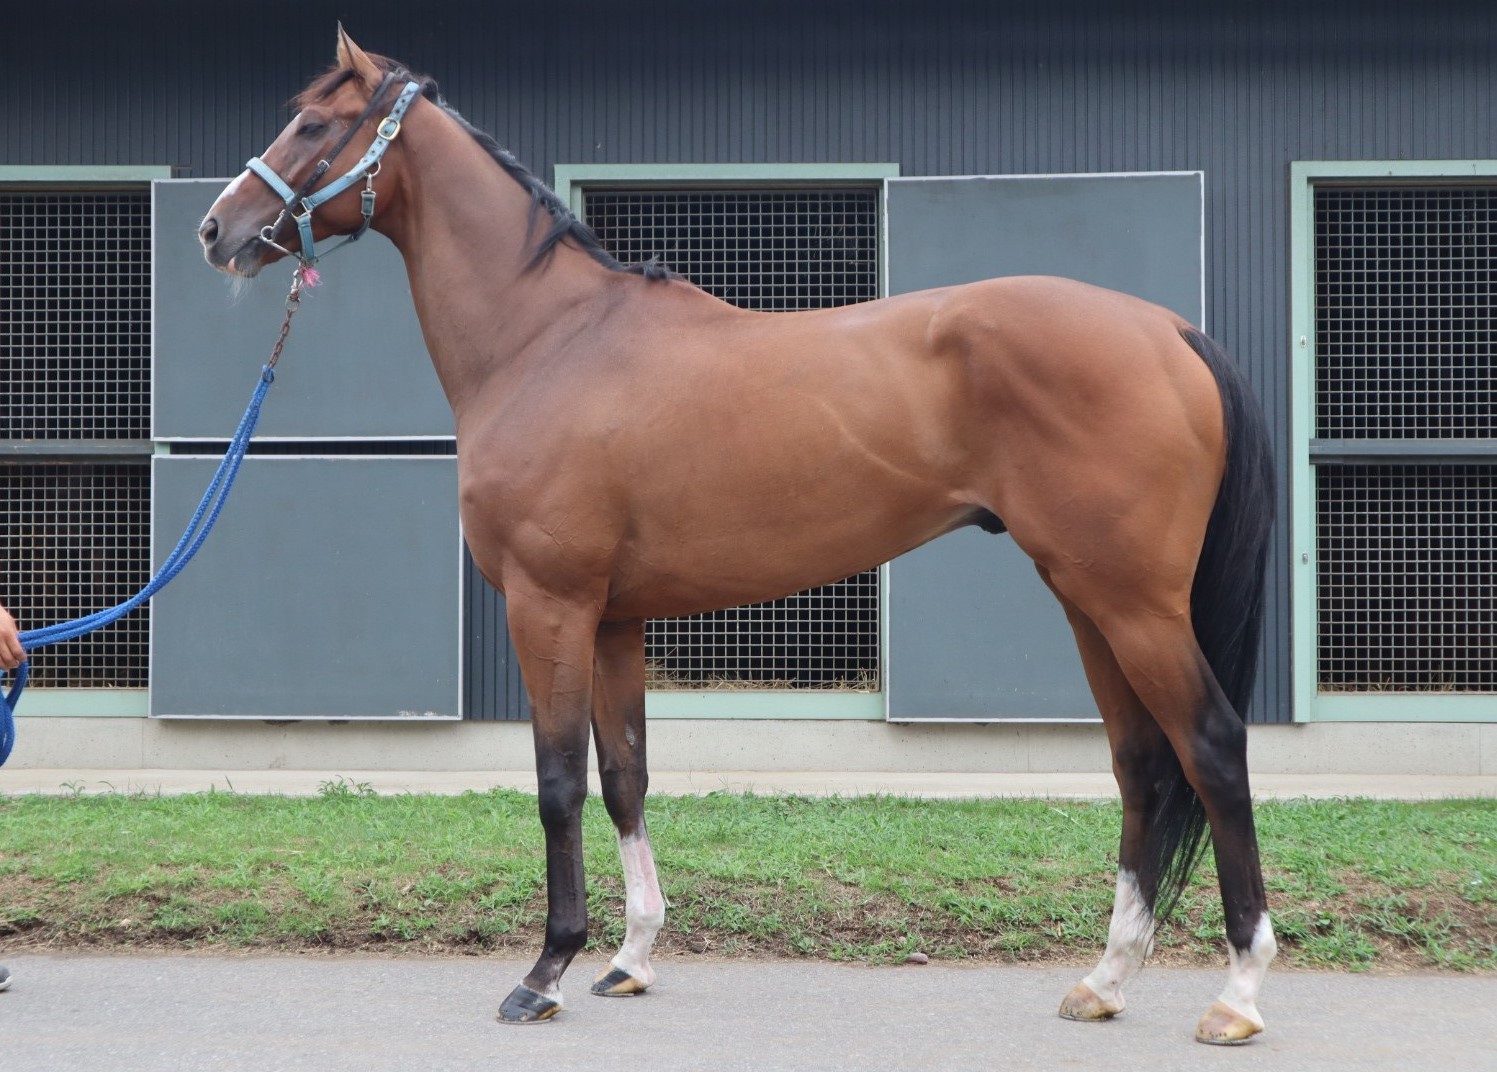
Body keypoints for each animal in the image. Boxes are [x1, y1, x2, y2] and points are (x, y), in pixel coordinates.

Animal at [198, 27, 1278, 1045]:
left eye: (310, 123)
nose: (219, 229)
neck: (550, 341)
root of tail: (1167, 329)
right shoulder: (613, 621)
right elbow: (625, 775)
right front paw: (629, 958)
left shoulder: (551, 606)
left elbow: (557, 783)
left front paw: (543, 973)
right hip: (1087, 597)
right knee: (1140, 761)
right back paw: (1105, 980)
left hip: (1133, 604)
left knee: (1211, 747)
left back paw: (1236, 994)